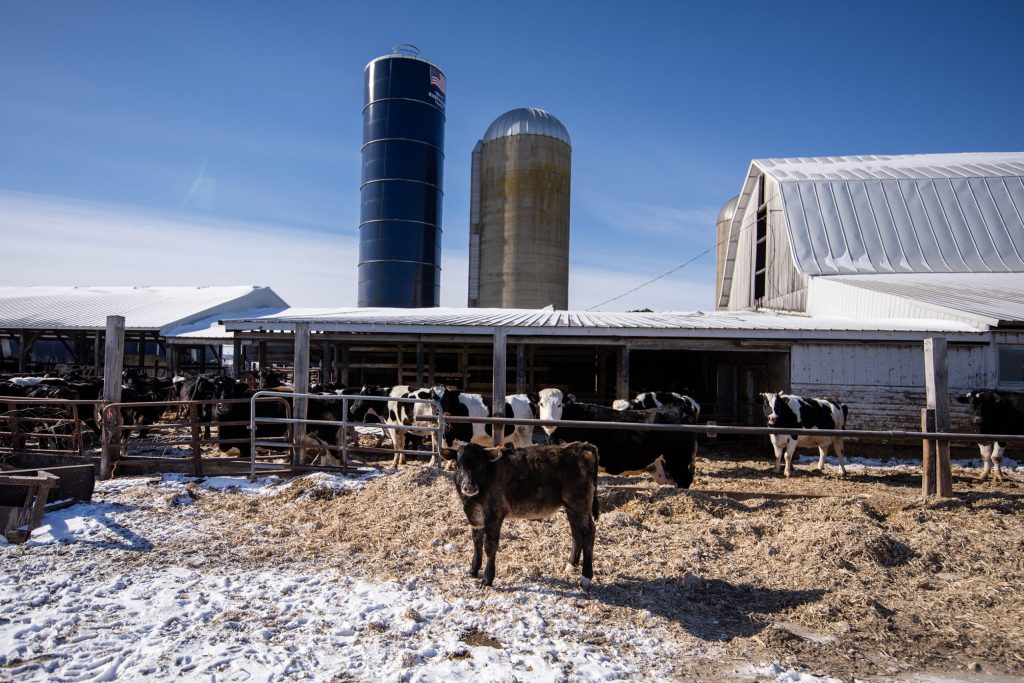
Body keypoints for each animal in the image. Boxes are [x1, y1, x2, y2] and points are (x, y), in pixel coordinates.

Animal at [442, 440, 598, 589]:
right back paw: (571, 565)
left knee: (587, 533)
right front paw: (473, 570)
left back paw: (585, 578)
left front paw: (487, 579)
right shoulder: (475, 517)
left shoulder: (494, 515)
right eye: (458, 464)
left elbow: (489, 545)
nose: (469, 487)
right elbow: (476, 542)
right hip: (571, 507)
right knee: (576, 532)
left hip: (579, 504)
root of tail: (580, 446)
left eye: (481, 465)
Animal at [536, 387, 696, 489]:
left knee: (685, 481)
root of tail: (679, 408)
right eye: (541, 404)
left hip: (678, 460)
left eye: (559, 404)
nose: (549, 422)